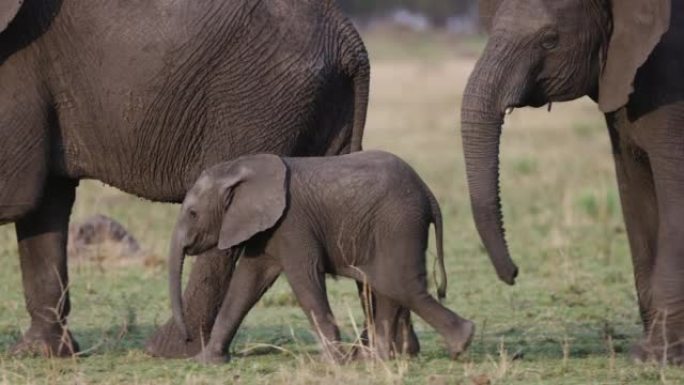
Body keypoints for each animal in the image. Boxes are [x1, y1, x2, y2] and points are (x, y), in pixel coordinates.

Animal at [0, 0, 420, 356]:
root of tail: (352, 42)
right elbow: (44, 204)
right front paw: (41, 354)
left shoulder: (19, 60)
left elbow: (18, 194)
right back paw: (388, 350)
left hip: (260, 98)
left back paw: (168, 350)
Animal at [168, 151, 472, 364]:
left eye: (193, 213)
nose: (187, 337)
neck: (241, 167)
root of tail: (429, 193)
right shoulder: (267, 229)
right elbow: (247, 283)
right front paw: (205, 361)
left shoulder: (292, 223)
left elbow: (304, 278)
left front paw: (332, 362)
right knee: (387, 287)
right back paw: (379, 358)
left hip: (398, 223)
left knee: (397, 283)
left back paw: (460, 343)